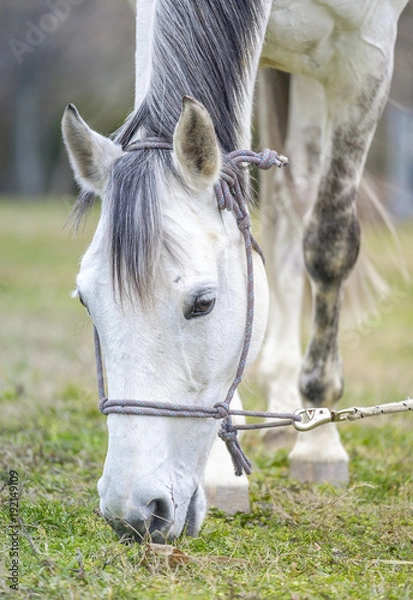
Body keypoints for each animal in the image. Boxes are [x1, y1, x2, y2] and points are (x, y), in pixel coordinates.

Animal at [62, 0, 408, 540]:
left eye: (203, 304)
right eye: (86, 302)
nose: (133, 512)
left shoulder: (367, 53)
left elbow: (329, 242)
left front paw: (322, 438)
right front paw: (226, 474)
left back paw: (310, 420)